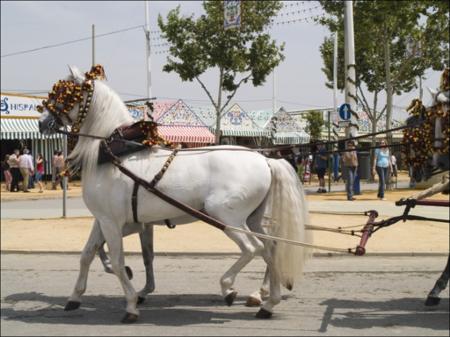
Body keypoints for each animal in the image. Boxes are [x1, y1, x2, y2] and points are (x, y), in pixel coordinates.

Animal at [38, 65, 312, 320]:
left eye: (62, 93)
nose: (42, 123)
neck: (113, 153)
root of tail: (264, 159)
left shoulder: (112, 221)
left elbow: (116, 261)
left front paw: (131, 304)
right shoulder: (104, 219)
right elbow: (88, 254)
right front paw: (75, 297)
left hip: (226, 216)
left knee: (252, 248)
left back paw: (229, 288)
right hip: (252, 218)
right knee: (270, 248)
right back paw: (268, 302)